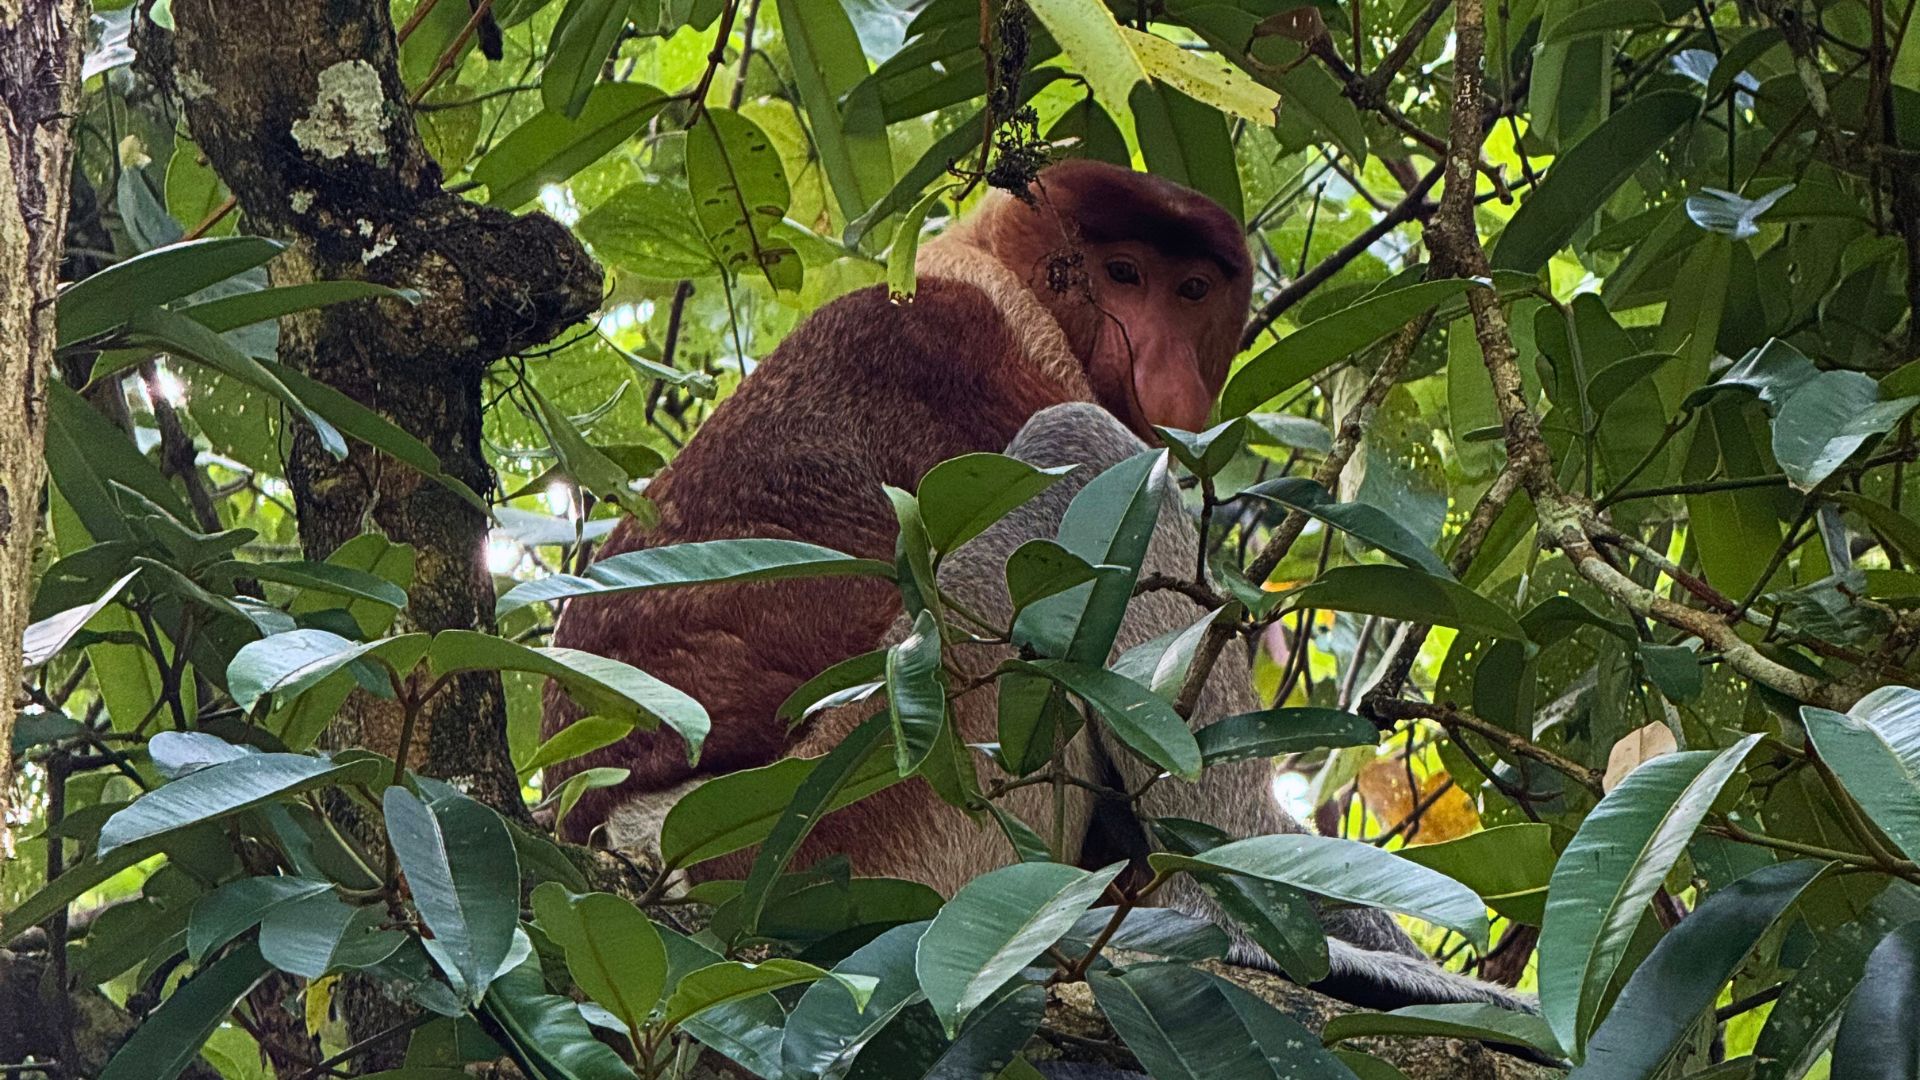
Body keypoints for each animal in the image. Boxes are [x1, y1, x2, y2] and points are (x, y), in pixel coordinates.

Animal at [543, 162, 1529, 1012]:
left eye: (1192, 291)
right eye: (1122, 275)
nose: (1168, 371)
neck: (984, 257)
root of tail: (614, 834)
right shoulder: (985, 347)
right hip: (865, 800)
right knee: (1078, 451)